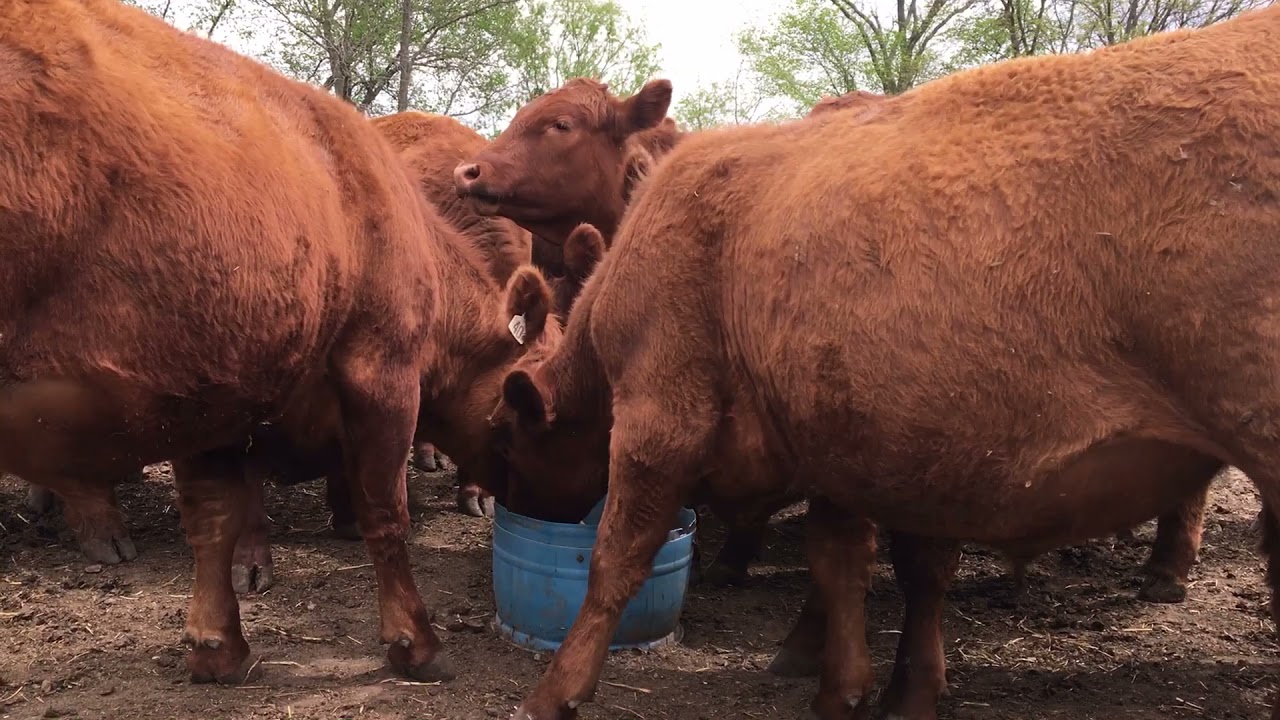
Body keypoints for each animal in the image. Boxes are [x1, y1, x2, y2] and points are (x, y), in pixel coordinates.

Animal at [0, 0, 554, 684]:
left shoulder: (208, 399)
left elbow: (212, 521)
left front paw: (216, 645)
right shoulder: (383, 376)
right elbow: (385, 511)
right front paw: (414, 641)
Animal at [490, 7, 1280, 718]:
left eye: (508, 436)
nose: (511, 508)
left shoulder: (661, 420)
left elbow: (616, 560)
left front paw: (555, 691)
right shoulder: (849, 445)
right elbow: (849, 563)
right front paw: (850, 685)